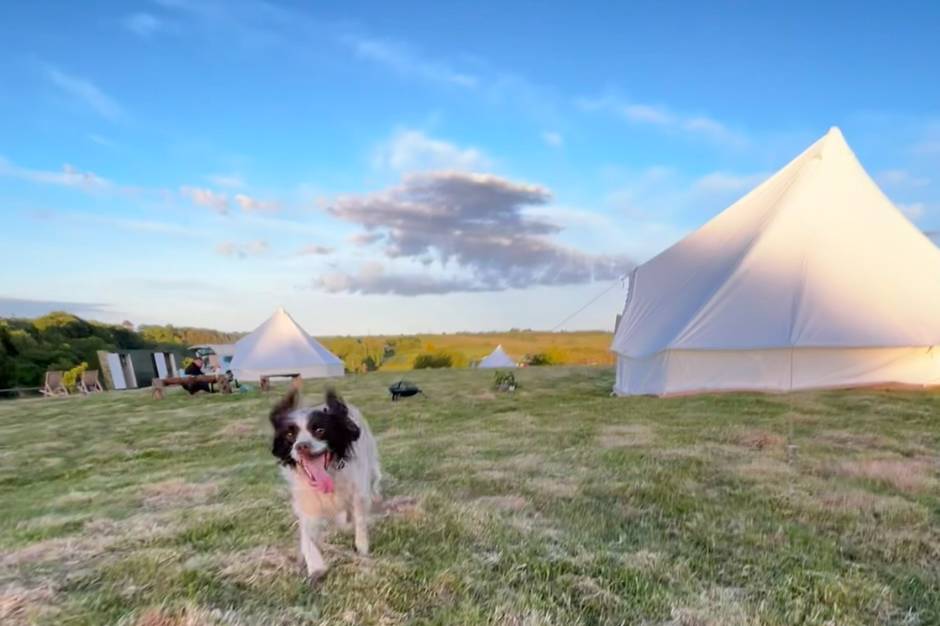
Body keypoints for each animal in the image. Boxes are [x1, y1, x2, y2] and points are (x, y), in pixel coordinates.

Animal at [268, 386, 382, 580]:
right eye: (290, 435)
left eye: (320, 430)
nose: (301, 446)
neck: (330, 474)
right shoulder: (307, 504)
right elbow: (307, 537)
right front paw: (315, 566)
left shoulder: (358, 492)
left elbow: (359, 520)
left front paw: (362, 547)